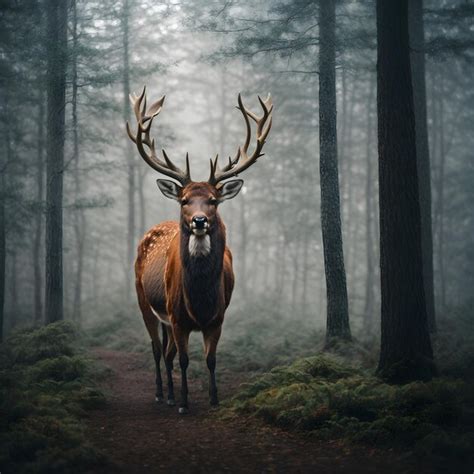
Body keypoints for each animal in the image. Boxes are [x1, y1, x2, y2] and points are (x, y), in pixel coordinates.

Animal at [126, 87, 274, 412]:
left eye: (213, 200)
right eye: (184, 200)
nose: (199, 221)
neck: (200, 297)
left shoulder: (218, 316)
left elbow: (210, 359)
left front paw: (213, 399)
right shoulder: (178, 316)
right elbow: (183, 359)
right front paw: (184, 402)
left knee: (166, 351)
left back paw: (169, 394)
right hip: (144, 301)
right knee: (157, 350)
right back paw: (162, 393)